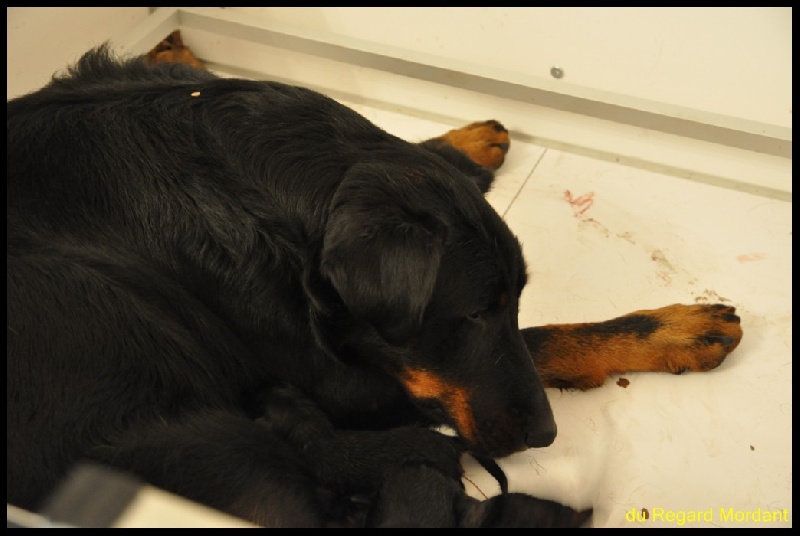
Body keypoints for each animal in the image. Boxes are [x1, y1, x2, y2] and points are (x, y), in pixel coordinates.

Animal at [7, 37, 743, 527]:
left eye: (510, 299)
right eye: (473, 315)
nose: (545, 435)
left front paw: (460, 143)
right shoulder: (346, 382)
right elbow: (542, 342)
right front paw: (676, 329)